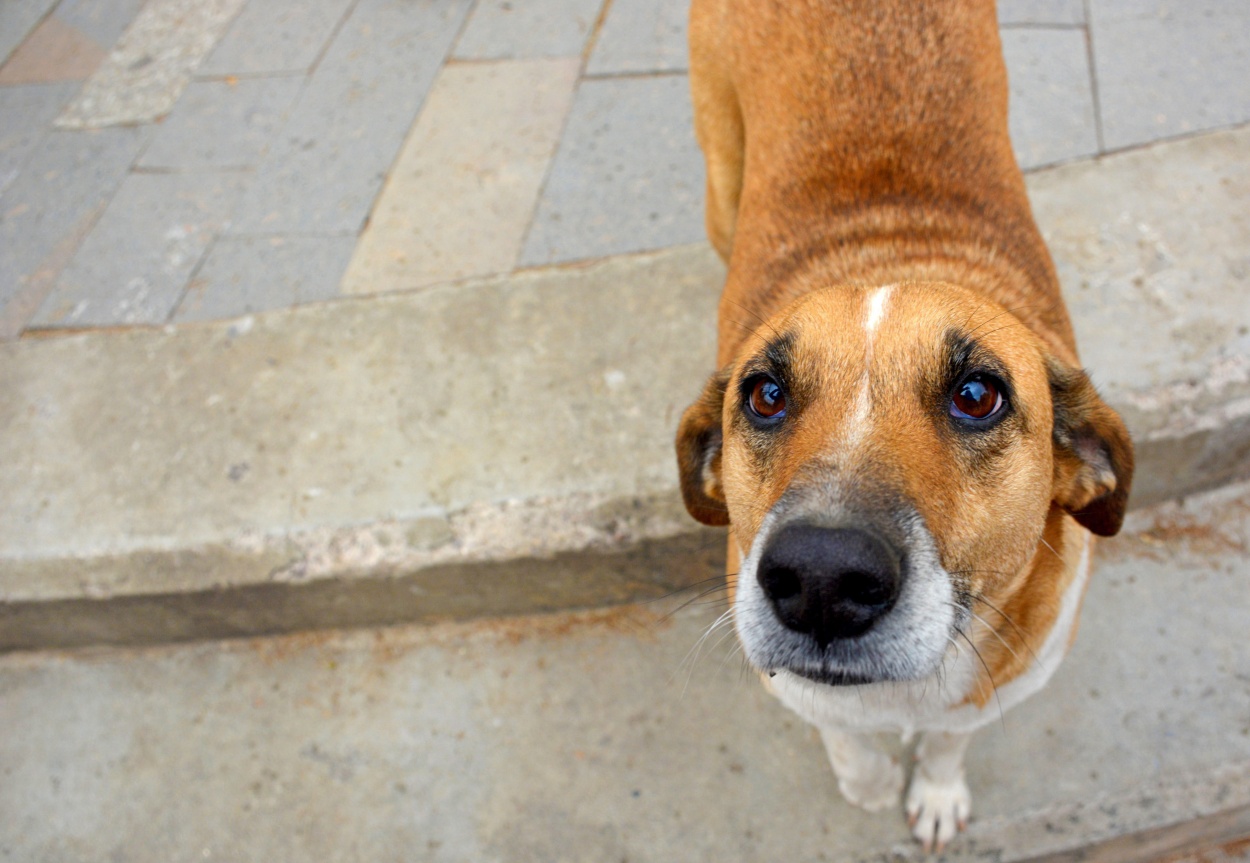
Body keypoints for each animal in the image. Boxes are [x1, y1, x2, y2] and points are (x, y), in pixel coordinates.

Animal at [675, 0, 1135, 845]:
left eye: (979, 394)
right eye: (764, 394)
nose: (821, 578)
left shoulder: (998, 686)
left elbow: (951, 738)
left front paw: (937, 791)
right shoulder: (798, 686)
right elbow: (842, 732)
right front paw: (870, 782)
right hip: (721, 173)